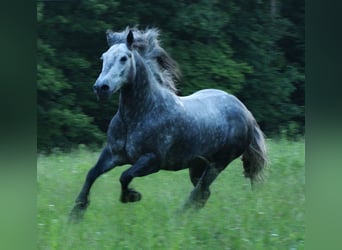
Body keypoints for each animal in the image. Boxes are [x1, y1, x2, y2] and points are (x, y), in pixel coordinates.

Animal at [69, 28, 268, 222]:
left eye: (124, 58)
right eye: (103, 57)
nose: (101, 88)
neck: (139, 114)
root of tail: (245, 112)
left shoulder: (152, 161)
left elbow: (125, 176)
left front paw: (132, 196)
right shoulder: (112, 154)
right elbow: (92, 174)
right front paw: (76, 213)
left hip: (217, 164)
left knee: (199, 192)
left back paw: (177, 218)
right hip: (197, 165)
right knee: (203, 194)